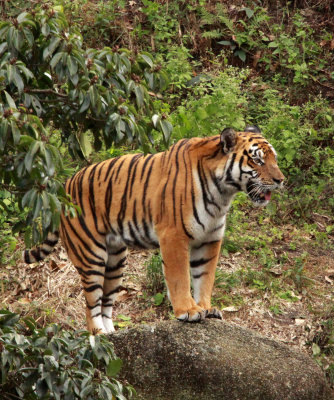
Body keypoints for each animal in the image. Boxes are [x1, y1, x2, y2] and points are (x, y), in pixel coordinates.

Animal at [23, 125, 284, 334]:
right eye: (258, 160)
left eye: (275, 159)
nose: (281, 180)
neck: (223, 192)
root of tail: (64, 188)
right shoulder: (174, 235)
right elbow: (180, 277)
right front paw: (188, 310)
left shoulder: (210, 239)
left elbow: (204, 278)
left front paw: (207, 308)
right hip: (90, 254)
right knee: (91, 304)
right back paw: (98, 335)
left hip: (115, 261)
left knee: (106, 301)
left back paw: (112, 335)